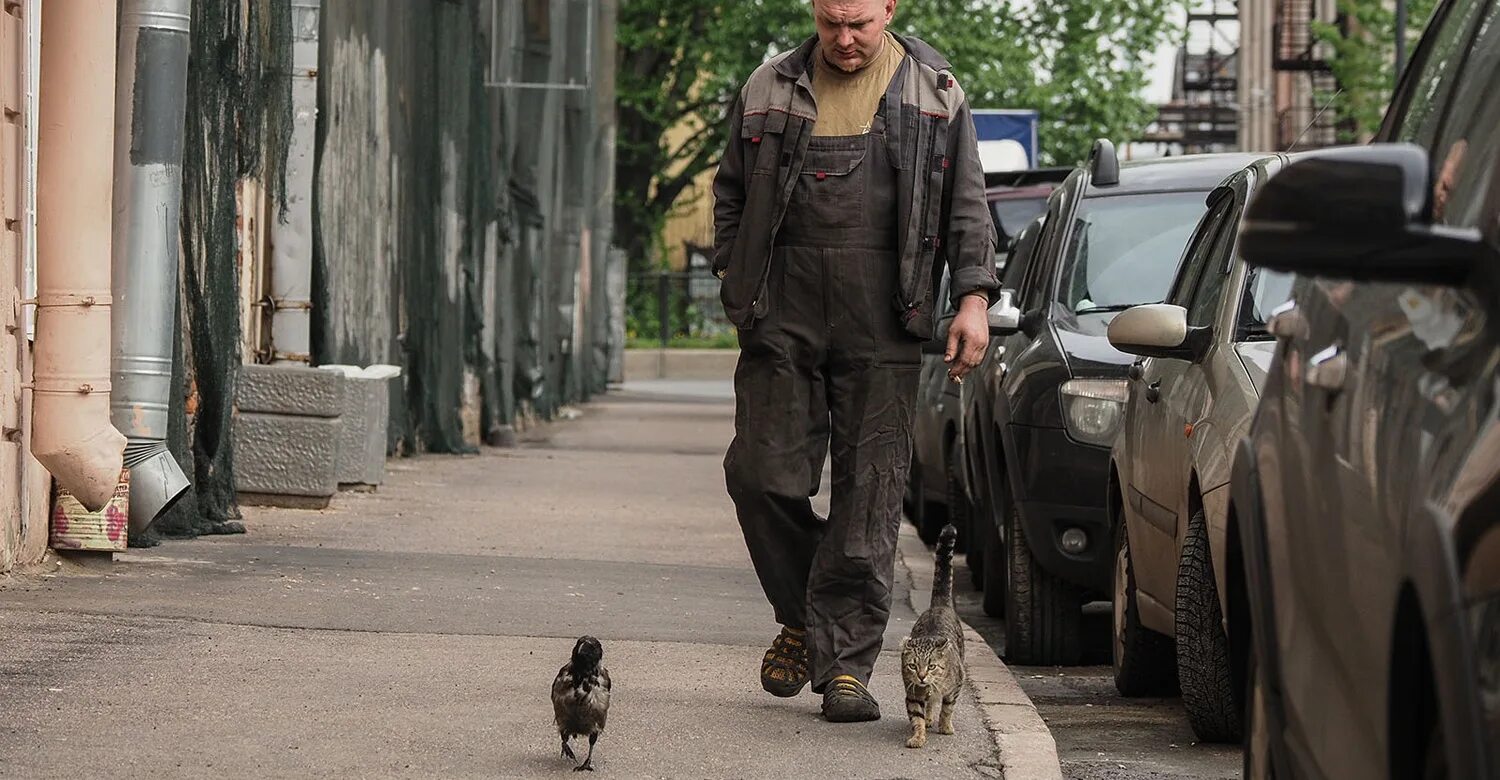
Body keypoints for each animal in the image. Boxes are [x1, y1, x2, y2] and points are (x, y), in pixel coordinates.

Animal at [900, 525, 960, 750]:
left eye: (932, 666)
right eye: (912, 666)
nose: (922, 676)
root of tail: (939, 605)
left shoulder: (955, 687)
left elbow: (948, 708)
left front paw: (945, 726)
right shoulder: (912, 694)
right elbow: (916, 717)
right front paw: (918, 736)